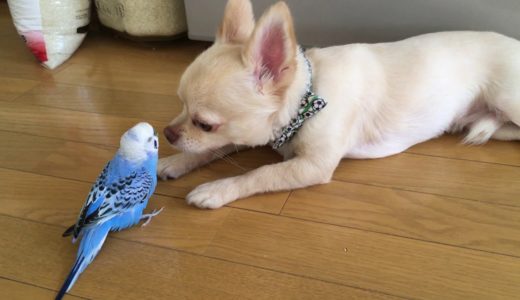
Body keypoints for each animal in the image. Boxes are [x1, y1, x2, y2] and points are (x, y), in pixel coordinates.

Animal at [157, 0, 520, 209]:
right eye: (180, 105)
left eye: (205, 123)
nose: (168, 133)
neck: (307, 99)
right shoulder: (254, 134)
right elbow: (215, 149)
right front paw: (174, 162)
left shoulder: (312, 165)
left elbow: (259, 173)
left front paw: (216, 189)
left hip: (508, 99)